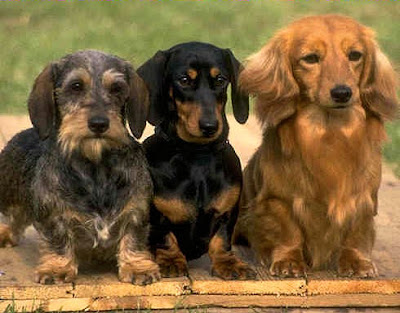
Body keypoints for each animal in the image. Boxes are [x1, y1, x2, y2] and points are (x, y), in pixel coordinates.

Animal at [0, 50, 159, 284]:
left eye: (116, 88)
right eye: (76, 86)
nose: (99, 124)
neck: (96, 167)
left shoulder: (136, 210)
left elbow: (134, 238)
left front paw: (137, 266)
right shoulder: (53, 214)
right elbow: (58, 241)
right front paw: (57, 268)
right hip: (8, 193)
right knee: (12, 217)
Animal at [138, 41, 256, 278]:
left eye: (220, 80)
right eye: (184, 80)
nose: (210, 126)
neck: (197, 156)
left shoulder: (227, 213)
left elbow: (221, 239)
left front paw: (228, 263)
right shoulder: (157, 216)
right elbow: (164, 237)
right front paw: (171, 260)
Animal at [233, 15, 398, 278]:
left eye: (355, 55)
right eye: (310, 58)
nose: (342, 93)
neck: (330, 134)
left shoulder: (364, 199)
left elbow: (357, 232)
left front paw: (357, 261)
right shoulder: (279, 200)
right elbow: (288, 232)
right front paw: (288, 261)